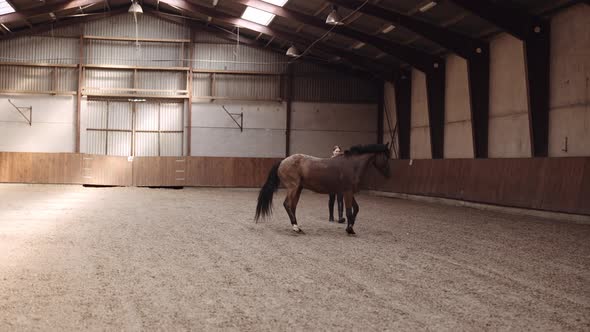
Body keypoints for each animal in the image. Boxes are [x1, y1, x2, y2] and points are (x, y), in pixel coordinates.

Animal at [256, 144, 390, 235]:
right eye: (386, 157)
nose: (388, 174)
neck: (352, 165)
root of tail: (283, 161)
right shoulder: (347, 192)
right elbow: (348, 211)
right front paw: (350, 229)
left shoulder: (349, 192)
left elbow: (356, 208)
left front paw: (350, 226)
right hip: (293, 187)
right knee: (287, 204)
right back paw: (296, 227)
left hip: (298, 189)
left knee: (292, 206)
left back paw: (297, 227)